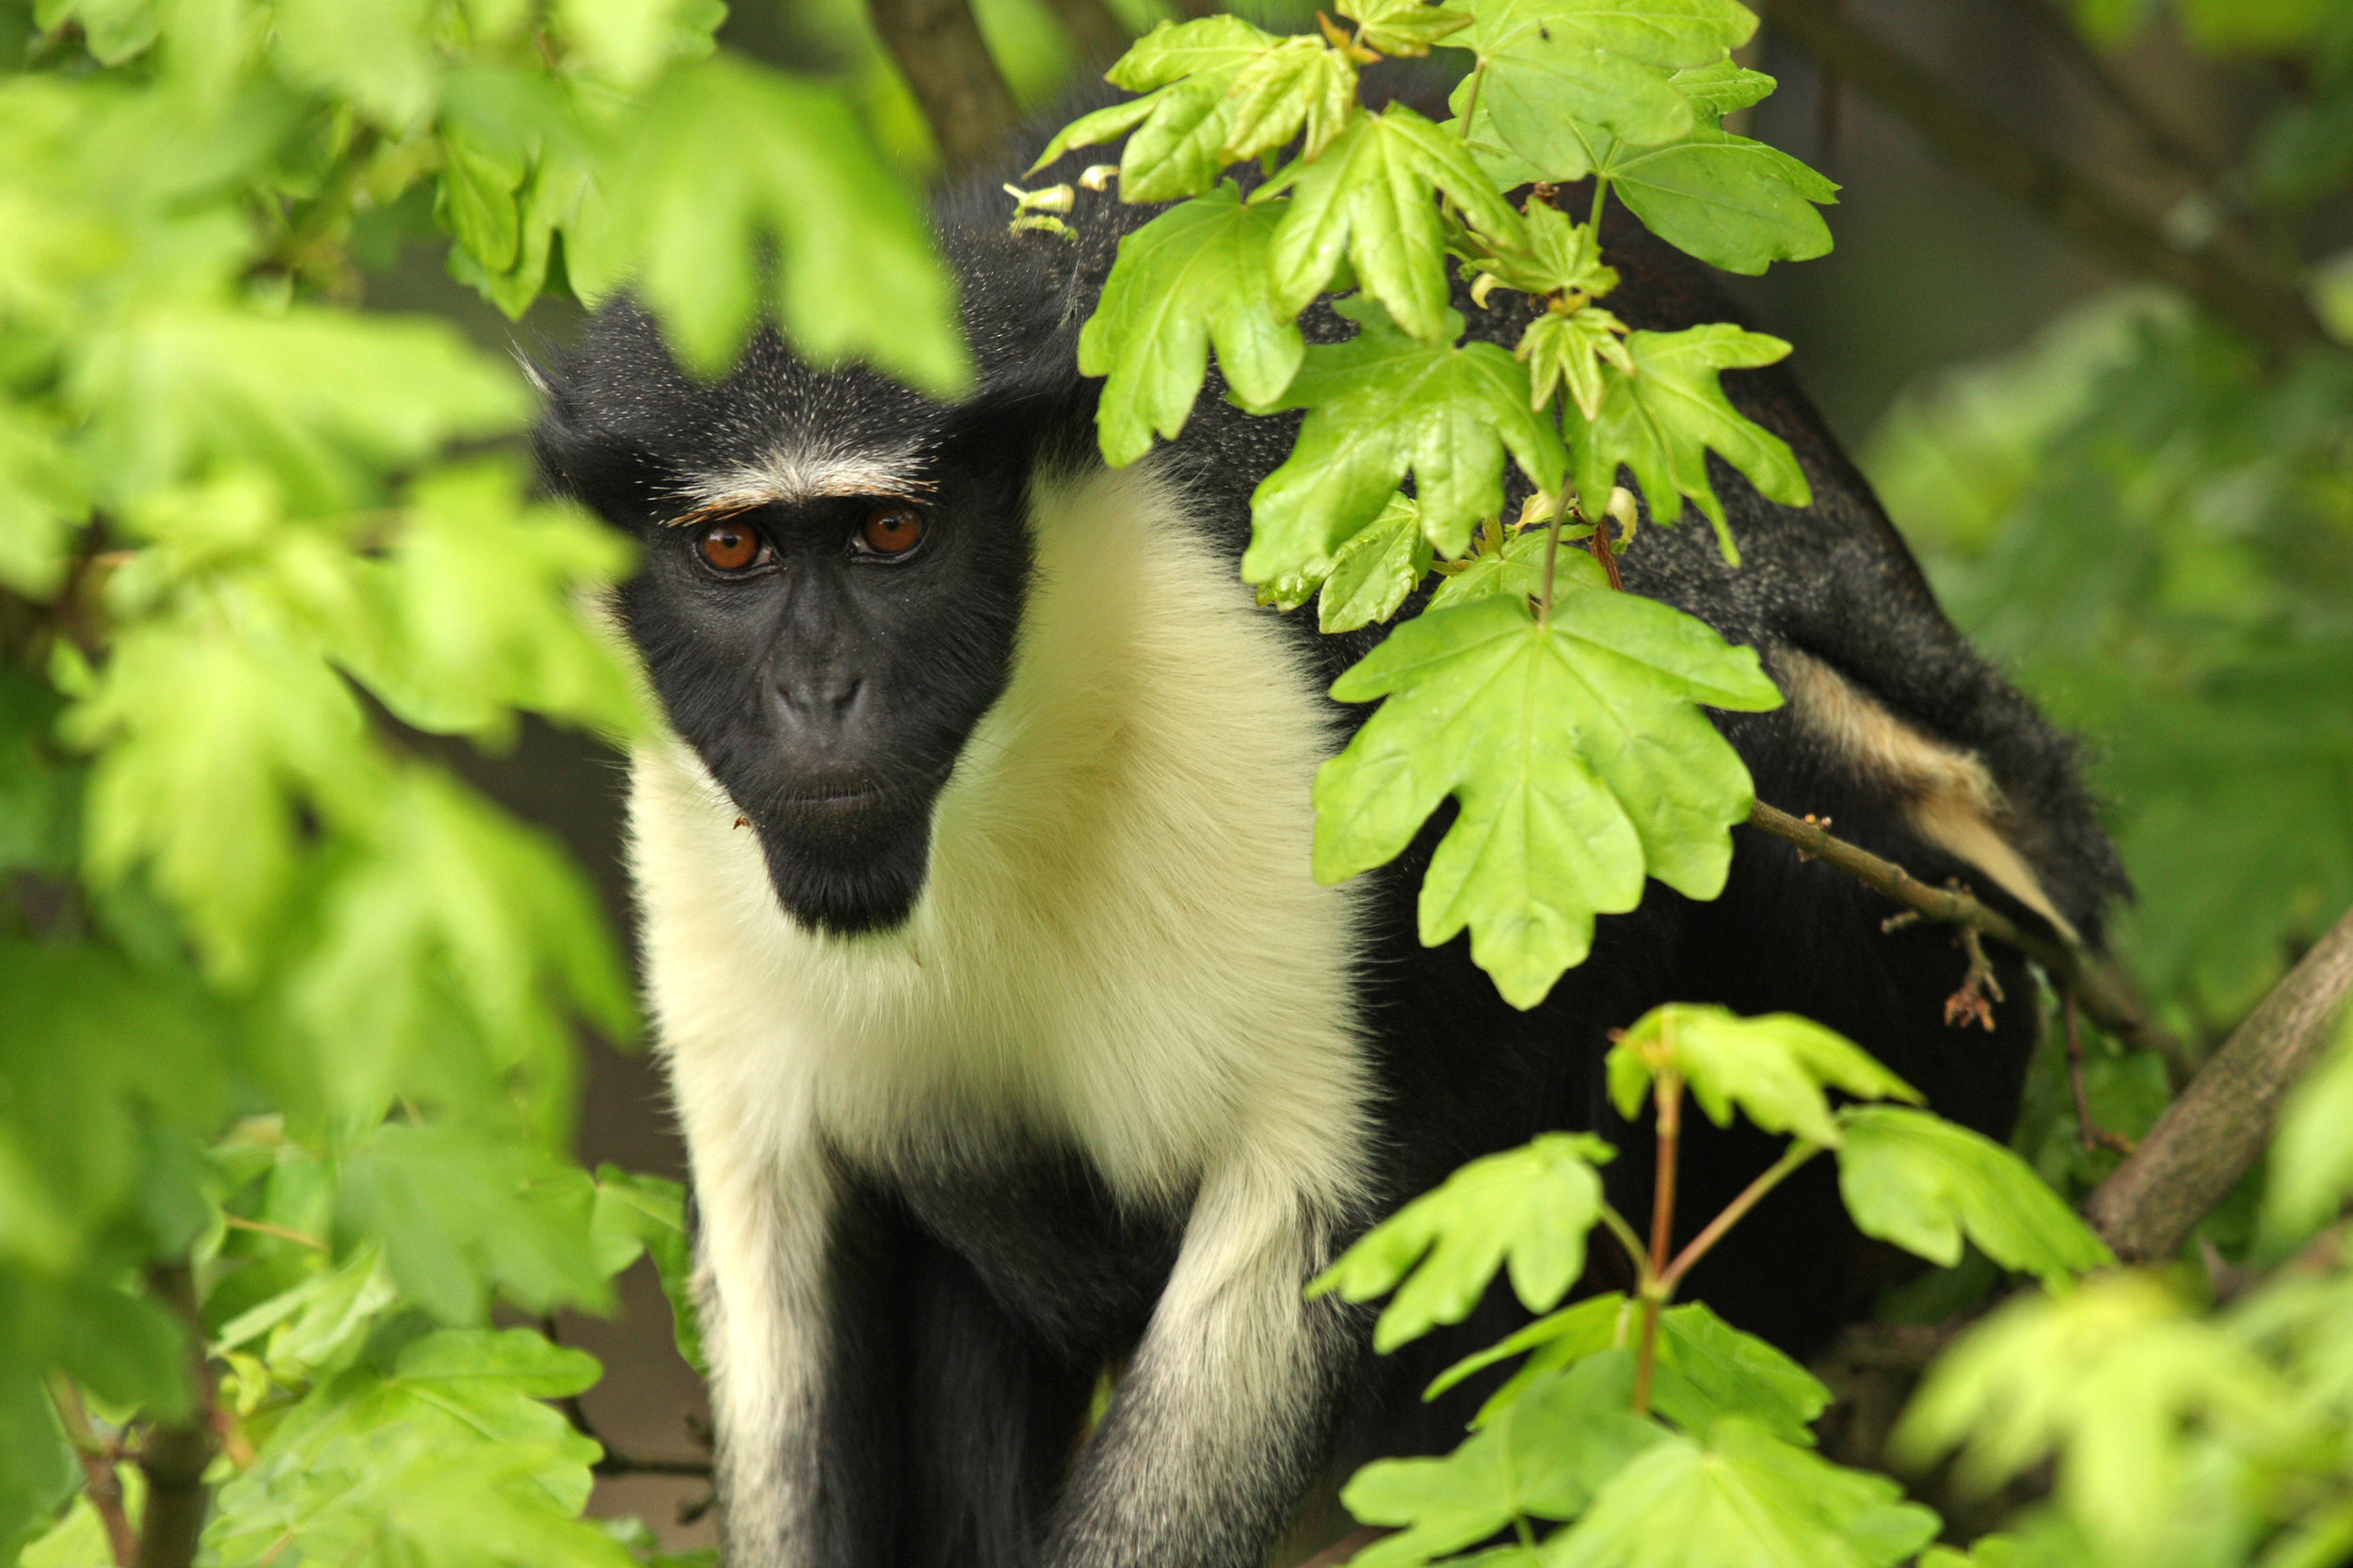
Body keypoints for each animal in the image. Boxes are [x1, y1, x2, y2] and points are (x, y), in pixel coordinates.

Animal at [534, 97, 2137, 1562]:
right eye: (731, 548)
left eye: (890, 533)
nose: (818, 696)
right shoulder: (695, 859)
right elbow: (785, 1265)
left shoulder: (1280, 727)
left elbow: (1302, 1212)